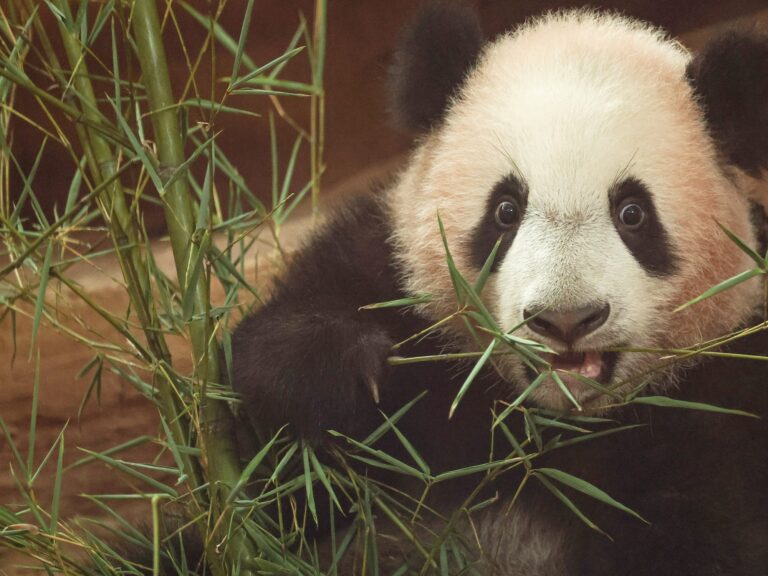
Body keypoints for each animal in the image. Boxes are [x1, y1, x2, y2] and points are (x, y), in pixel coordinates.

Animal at [232, 2, 768, 574]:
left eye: (633, 213)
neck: (546, 426)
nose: (565, 318)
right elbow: (272, 475)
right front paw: (338, 378)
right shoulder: (390, 274)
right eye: (506, 210)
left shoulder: (722, 398)